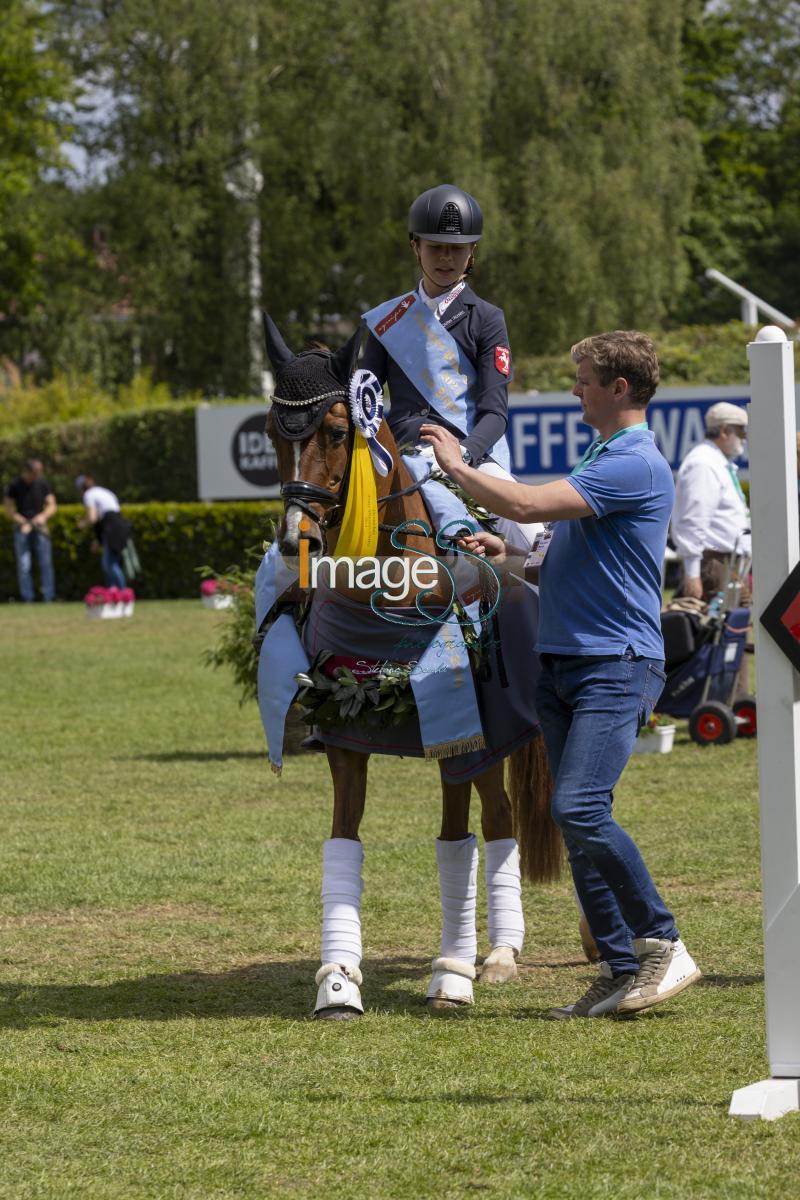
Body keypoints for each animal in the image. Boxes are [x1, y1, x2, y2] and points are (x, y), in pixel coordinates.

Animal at [260, 314, 566, 1017]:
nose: (296, 542)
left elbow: (456, 848)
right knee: (504, 818)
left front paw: (452, 972)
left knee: (511, 821)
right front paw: (337, 979)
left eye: (337, 431)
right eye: (269, 432)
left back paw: (504, 954)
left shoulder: (458, 740)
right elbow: (343, 845)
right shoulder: (345, 736)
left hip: (510, 733)